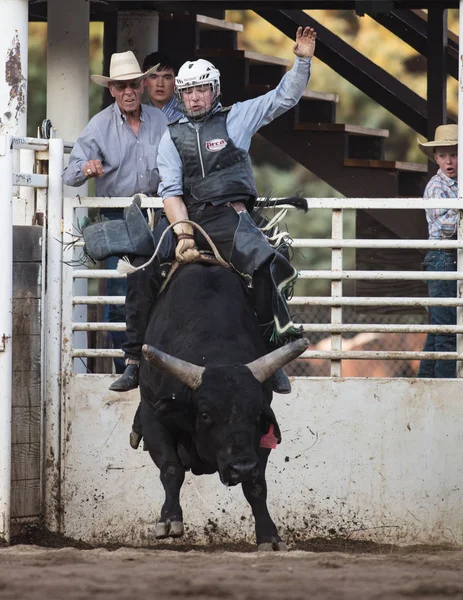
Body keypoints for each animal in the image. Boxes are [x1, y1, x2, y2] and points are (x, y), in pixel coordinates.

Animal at [140, 262, 310, 548]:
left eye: (256, 414)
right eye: (205, 414)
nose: (241, 468)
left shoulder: (260, 440)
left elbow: (256, 486)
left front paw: (269, 535)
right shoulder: (153, 414)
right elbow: (171, 468)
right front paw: (169, 520)